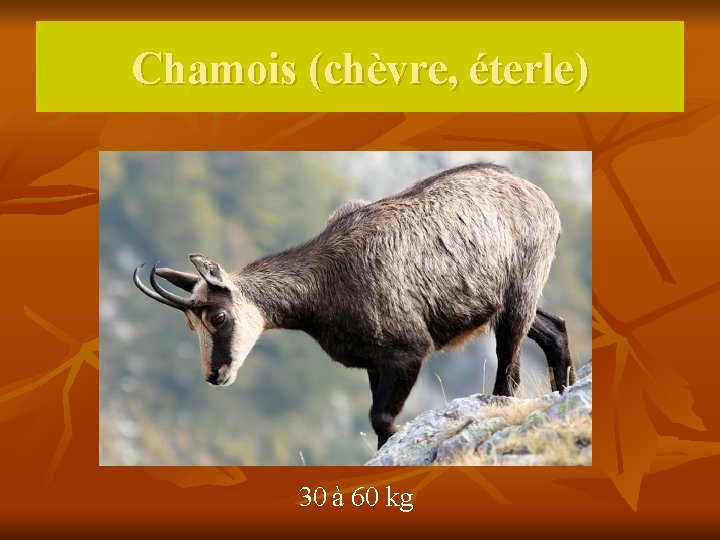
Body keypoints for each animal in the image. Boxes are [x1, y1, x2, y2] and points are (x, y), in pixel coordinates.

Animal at [133, 163, 576, 449]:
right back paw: (564, 387)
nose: (214, 374)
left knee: (510, 367)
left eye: (219, 316)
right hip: (506, 303)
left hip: (520, 291)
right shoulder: (374, 363)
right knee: (554, 328)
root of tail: (544, 200)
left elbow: (380, 418)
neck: (325, 283)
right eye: (190, 325)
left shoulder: (407, 350)